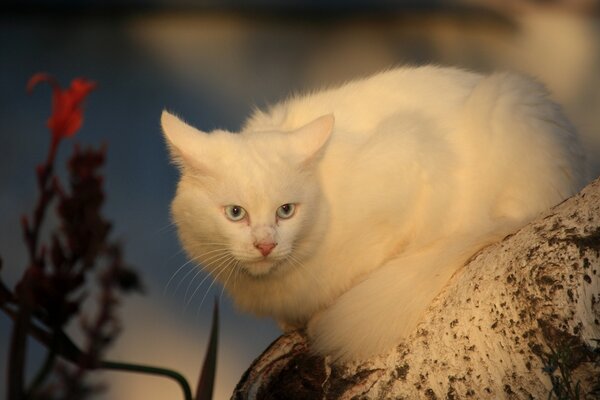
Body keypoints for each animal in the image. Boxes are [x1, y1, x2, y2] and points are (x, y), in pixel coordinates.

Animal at [161, 65, 584, 360]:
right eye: (236, 213)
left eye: (286, 211)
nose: (266, 245)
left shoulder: (412, 163)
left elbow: (372, 262)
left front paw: (322, 313)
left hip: (506, 102)